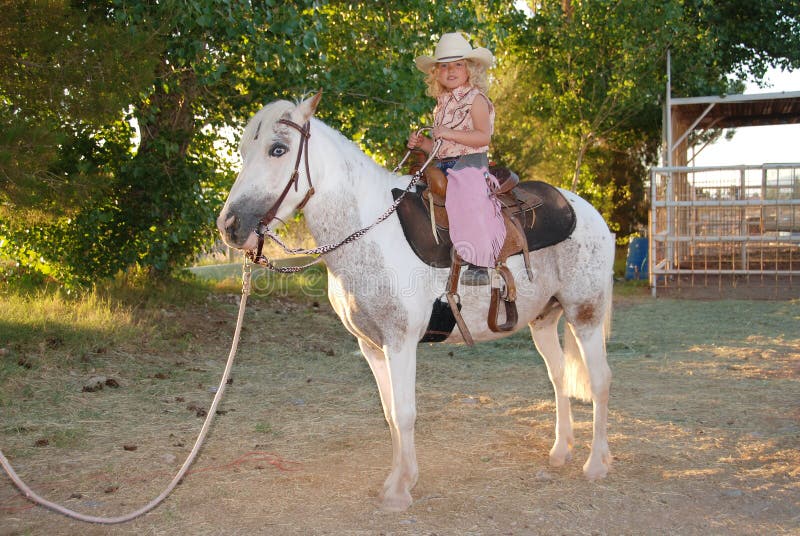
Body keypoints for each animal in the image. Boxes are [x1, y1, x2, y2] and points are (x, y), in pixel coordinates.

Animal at [216, 94, 616, 512]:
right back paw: (560, 451)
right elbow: (391, 414)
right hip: (543, 320)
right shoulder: (372, 346)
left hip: (585, 315)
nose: (229, 226)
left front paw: (398, 490)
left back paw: (595, 464)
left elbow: (406, 413)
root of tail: (588, 212)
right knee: (559, 378)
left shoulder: (401, 342)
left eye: (278, 149)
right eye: (242, 152)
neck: (370, 231)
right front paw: (401, 478)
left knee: (600, 380)